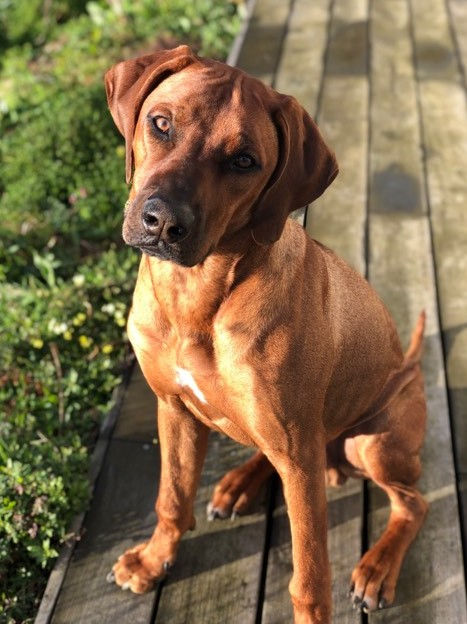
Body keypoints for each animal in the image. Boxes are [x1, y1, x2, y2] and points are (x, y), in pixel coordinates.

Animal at [104, 45, 427, 623]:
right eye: (160, 123)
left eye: (243, 161)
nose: (163, 223)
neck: (197, 299)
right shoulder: (173, 407)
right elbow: (172, 498)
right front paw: (154, 560)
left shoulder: (299, 463)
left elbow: (310, 578)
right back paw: (239, 482)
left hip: (372, 441)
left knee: (413, 503)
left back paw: (376, 566)